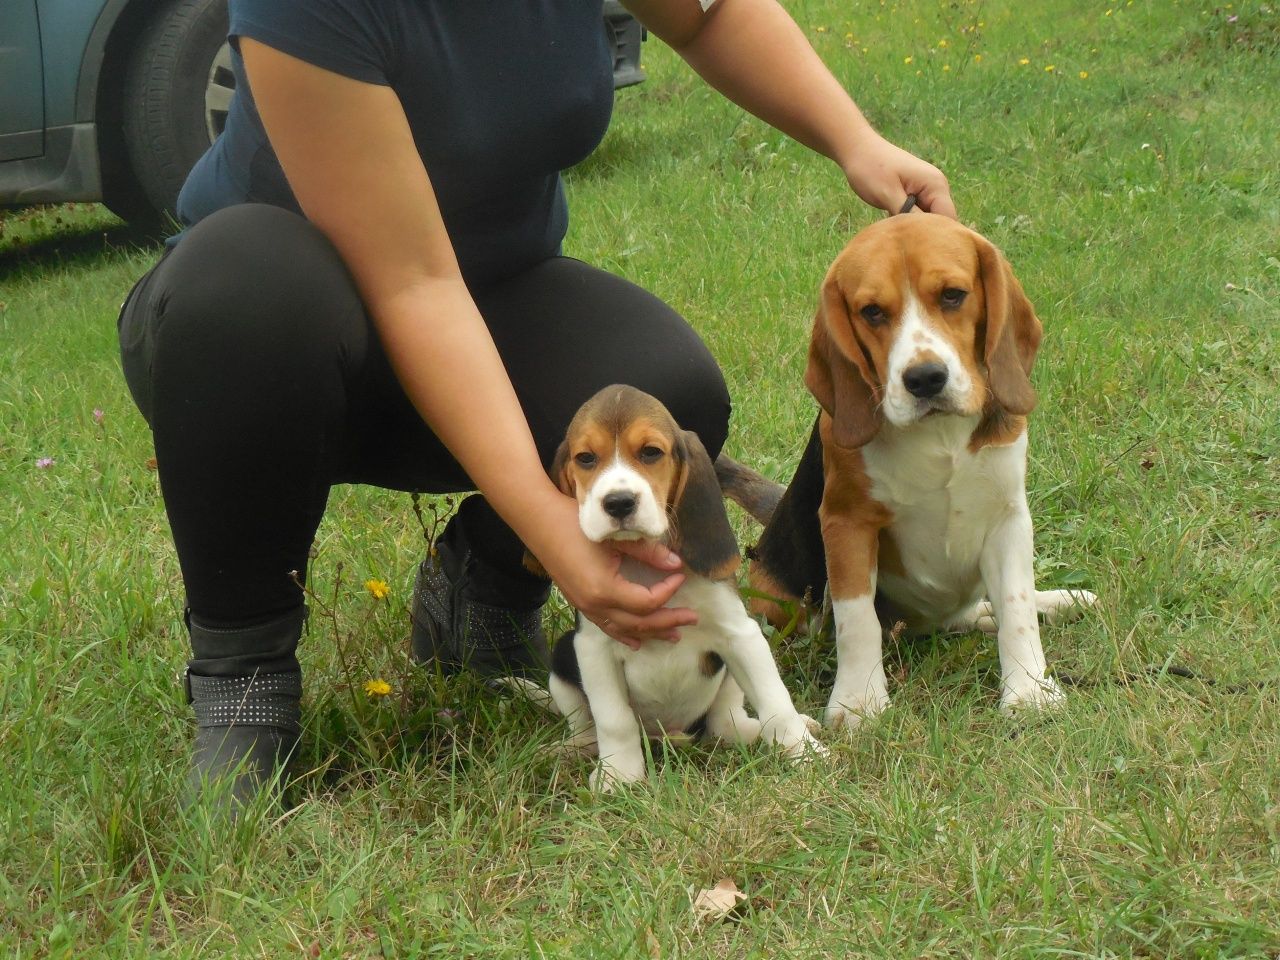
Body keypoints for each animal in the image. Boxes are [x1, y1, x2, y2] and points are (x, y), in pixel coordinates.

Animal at [547, 386, 824, 793]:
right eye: (585, 458)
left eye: (650, 452)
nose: (618, 503)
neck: (645, 565)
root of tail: (673, 735)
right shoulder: (593, 647)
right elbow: (614, 720)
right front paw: (619, 775)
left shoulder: (741, 633)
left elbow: (776, 702)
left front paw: (804, 752)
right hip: (563, 655)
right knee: (586, 726)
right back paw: (571, 750)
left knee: (725, 723)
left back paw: (757, 731)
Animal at [747, 216, 1100, 727]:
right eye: (872, 311)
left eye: (953, 295)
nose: (925, 379)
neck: (939, 435)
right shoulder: (846, 522)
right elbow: (857, 619)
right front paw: (859, 703)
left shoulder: (1009, 517)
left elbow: (1016, 608)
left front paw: (1029, 692)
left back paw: (1055, 602)